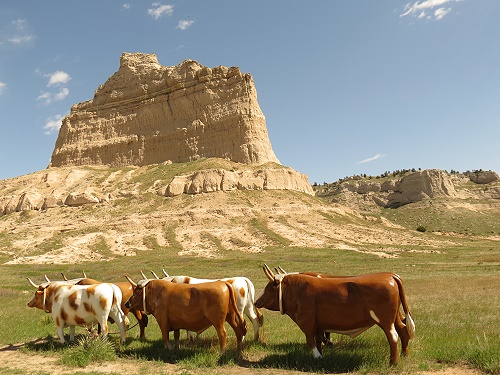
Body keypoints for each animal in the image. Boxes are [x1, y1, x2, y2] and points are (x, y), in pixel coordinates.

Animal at [254, 264, 414, 368]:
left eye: (268, 289)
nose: (256, 302)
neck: (298, 290)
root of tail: (389, 275)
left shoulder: (307, 322)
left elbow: (310, 340)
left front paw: (317, 356)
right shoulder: (319, 324)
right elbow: (318, 339)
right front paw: (321, 353)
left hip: (385, 320)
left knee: (393, 336)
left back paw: (393, 362)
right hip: (395, 317)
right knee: (403, 330)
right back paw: (404, 355)